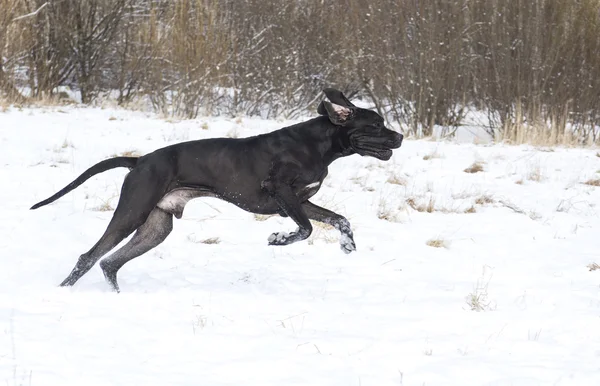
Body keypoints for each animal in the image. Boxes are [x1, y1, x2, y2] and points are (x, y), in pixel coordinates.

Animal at [29, 89, 404, 292]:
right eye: (376, 125)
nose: (401, 136)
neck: (319, 143)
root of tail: (139, 161)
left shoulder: (300, 201)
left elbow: (340, 219)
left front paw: (347, 243)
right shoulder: (282, 193)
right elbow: (306, 229)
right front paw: (279, 239)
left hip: (156, 228)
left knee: (109, 263)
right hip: (131, 213)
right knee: (89, 257)